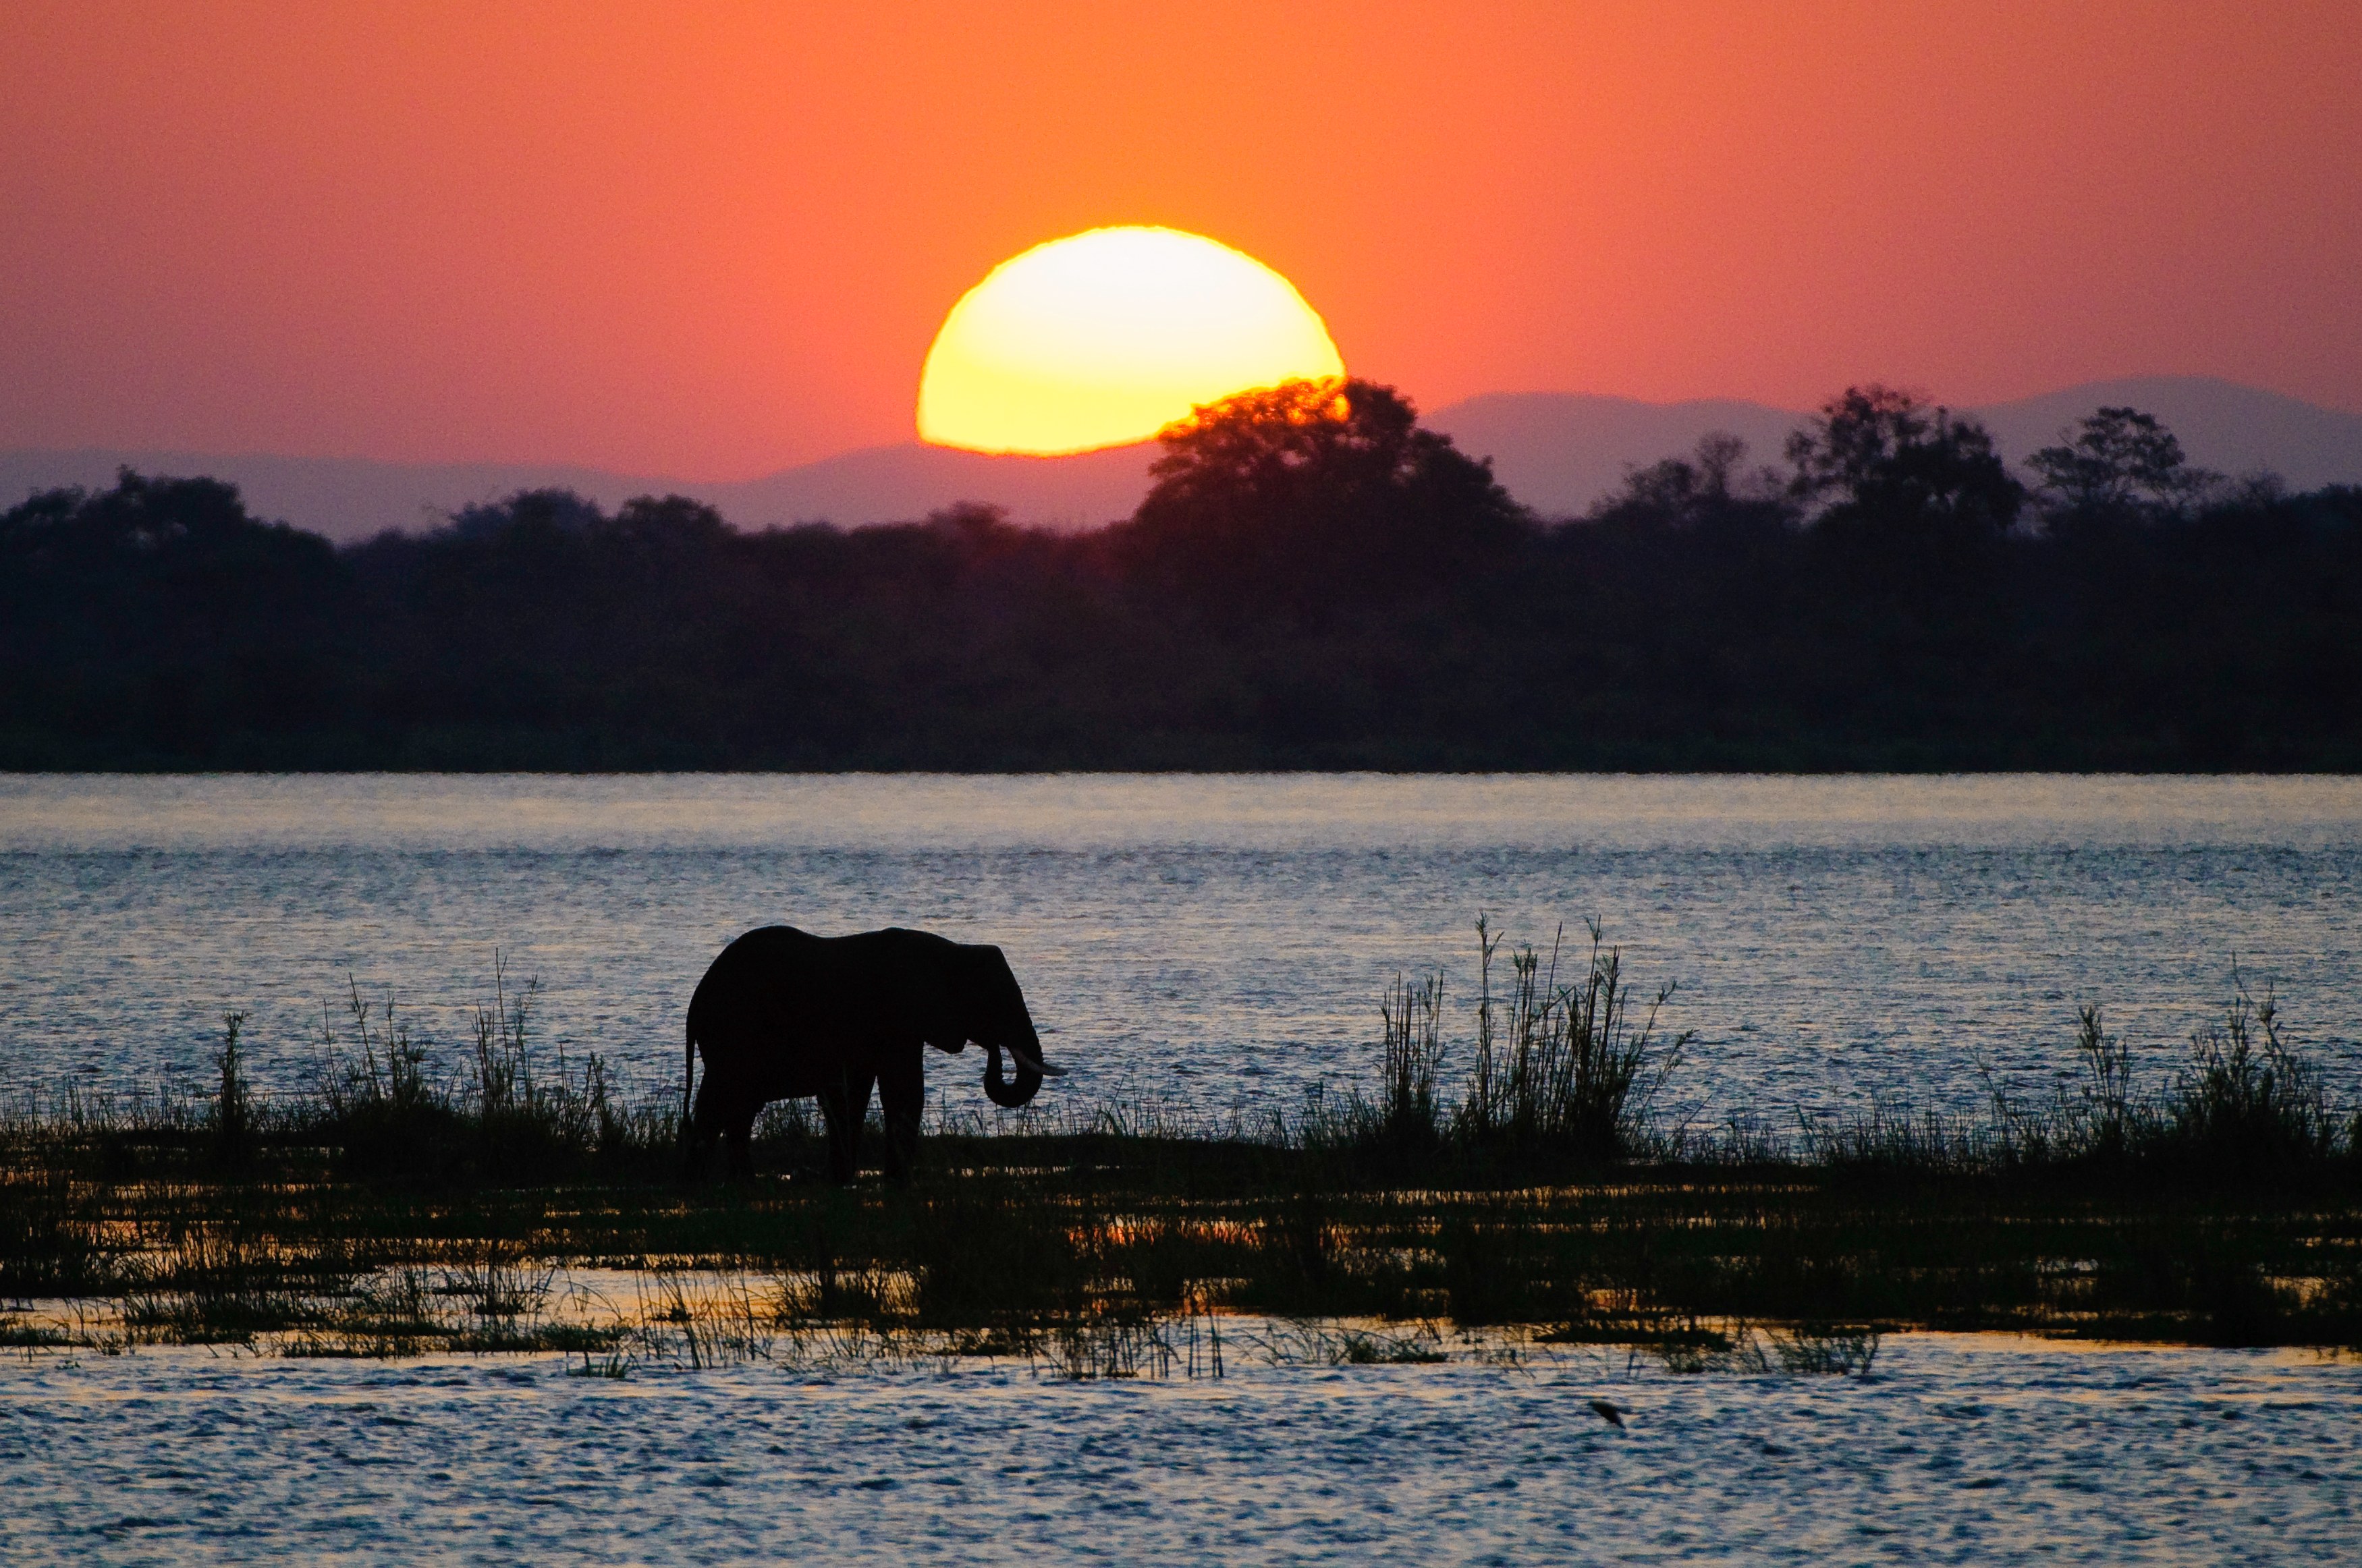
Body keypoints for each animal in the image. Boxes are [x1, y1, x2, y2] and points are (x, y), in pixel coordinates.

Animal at [680, 925, 1064, 1182]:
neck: (952, 950)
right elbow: (903, 1092)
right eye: (994, 1001)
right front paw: (896, 1182)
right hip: (733, 1032)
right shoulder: (896, 1017)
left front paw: (841, 1179)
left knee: (737, 1108)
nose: (994, 1047)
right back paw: (705, 1180)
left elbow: (855, 1095)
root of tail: (697, 1000)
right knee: (722, 1100)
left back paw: (737, 1180)